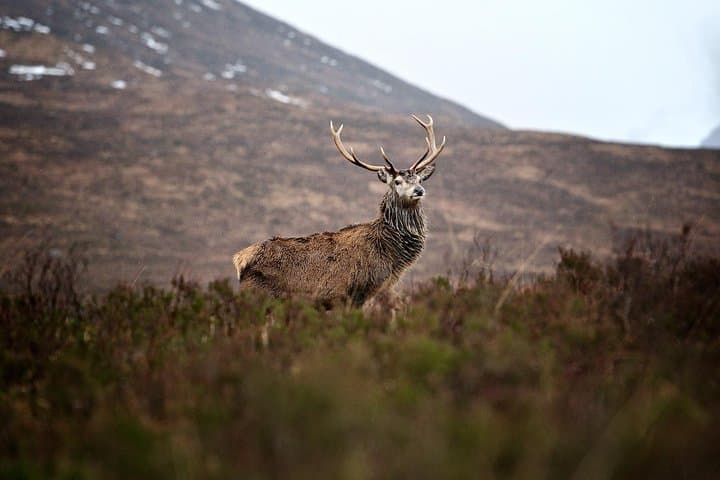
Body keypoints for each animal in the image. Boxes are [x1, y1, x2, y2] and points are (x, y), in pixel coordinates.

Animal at [232, 114, 446, 310]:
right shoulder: (353, 293)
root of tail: (240, 259)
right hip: (259, 295)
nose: (419, 191)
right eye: (397, 181)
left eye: (419, 179)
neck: (391, 255)